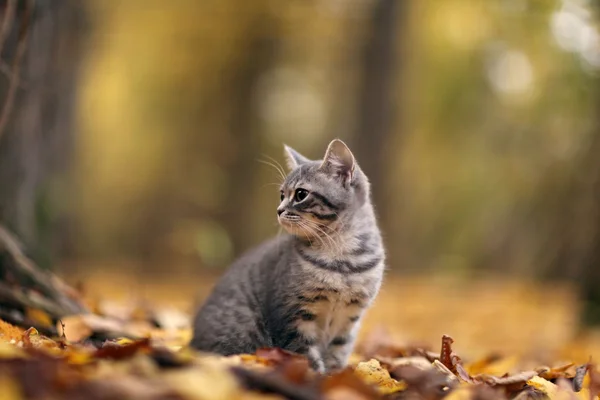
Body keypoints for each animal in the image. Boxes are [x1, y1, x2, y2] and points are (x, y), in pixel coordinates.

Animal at [193, 139, 390, 374]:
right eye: (281, 194)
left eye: (300, 194)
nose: (278, 210)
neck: (341, 260)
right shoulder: (292, 317)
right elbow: (304, 356)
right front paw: (316, 376)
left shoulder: (349, 320)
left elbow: (337, 354)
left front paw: (336, 377)